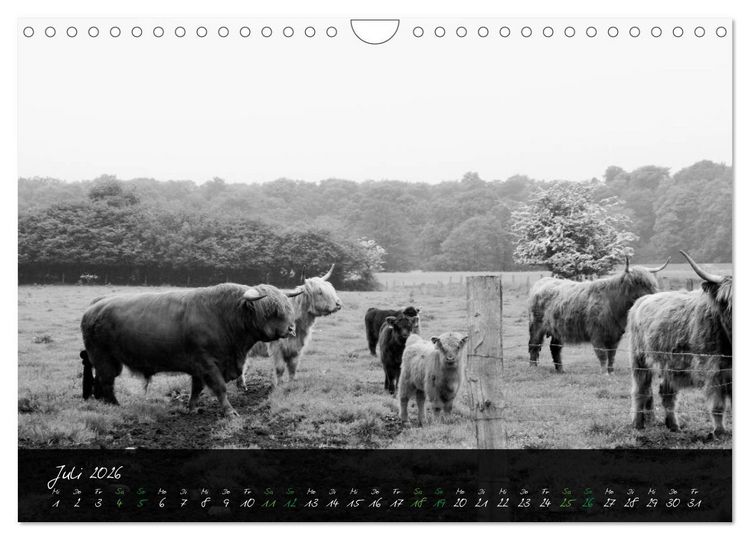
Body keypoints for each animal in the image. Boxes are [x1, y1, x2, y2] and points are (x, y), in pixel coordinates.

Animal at [80, 282, 302, 417]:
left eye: (287, 307)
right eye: (271, 310)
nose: (291, 328)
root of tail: (94, 306)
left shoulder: (198, 366)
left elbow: (196, 388)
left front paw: (192, 408)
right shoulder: (207, 363)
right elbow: (220, 388)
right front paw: (229, 412)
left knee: (101, 380)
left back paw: (104, 404)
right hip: (103, 357)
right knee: (107, 381)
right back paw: (115, 405)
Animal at [528, 257, 671, 373]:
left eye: (652, 282)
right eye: (638, 282)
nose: (655, 295)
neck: (614, 303)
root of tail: (543, 281)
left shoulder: (615, 335)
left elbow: (612, 355)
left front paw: (611, 371)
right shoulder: (597, 334)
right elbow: (602, 355)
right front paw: (603, 373)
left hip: (557, 329)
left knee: (555, 348)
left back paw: (561, 370)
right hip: (536, 326)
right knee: (534, 345)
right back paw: (533, 367)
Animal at [629, 251, 732, 438]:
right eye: (726, 300)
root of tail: (643, 299)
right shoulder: (711, 370)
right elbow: (718, 405)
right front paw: (719, 432)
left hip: (670, 364)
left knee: (667, 393)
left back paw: (673, 425)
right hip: (639, 360)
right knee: (640, 390)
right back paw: (638, 424)